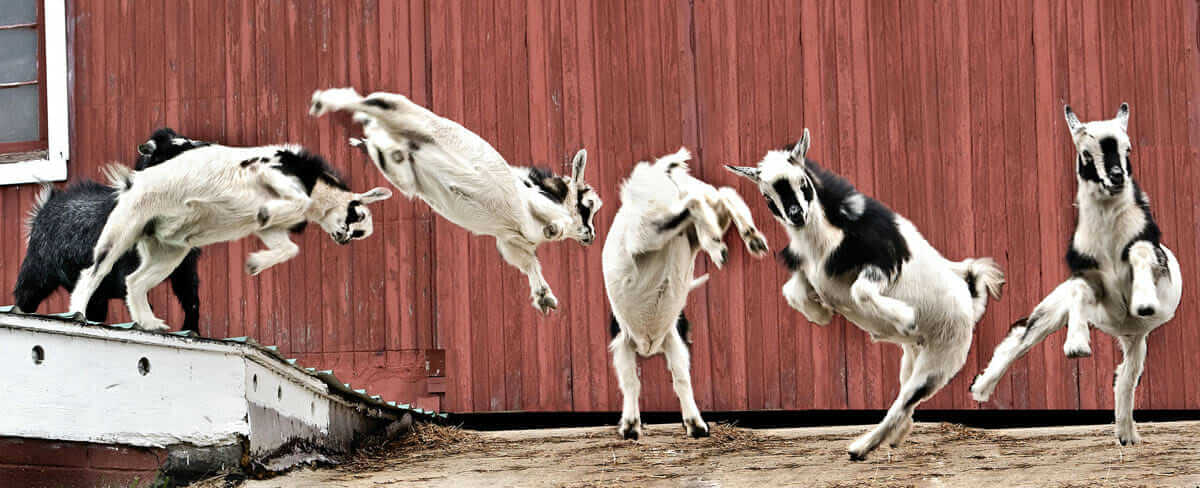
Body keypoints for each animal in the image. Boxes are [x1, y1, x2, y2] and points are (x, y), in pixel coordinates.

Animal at [68, 142, 393, 333]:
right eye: (357, 217)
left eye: (360, 233)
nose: (345, 239)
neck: (313, 182)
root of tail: (133, 182)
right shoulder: (267, 169)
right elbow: (295, 201)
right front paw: (266, 213)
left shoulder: (272, 231)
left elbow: (288, 248)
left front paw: (255, 263)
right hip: (126, 225)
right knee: (95, 271)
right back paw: (78, 312)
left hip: (169, 251)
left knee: (135, 281)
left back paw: (148, 321)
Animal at [309, 88, 600, 314]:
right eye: (588, 205)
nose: (591, 236)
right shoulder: (531, 202)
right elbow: (555, 221)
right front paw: (554, 230)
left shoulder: (510, 241)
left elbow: (527, 262)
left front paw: (544, 297)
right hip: (402, 112)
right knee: (374, 102)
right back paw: (326, 101)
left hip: (402, 172)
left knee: (383, 147)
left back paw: (362, 138)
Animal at [600, 148, 768, 438]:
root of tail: (661, 170)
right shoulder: (667, 339)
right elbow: (677, 378)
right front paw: (695, 425)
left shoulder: (628, 340)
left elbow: (636, 380)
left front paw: (631, 427)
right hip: (685, 223)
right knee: (722, 195)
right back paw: (746, 239)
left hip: (647, 230)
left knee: (693, 202)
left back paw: (717, 244)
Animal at [724, 128, 1008, 458]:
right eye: (767, 196)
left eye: (802, 182)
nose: (796, 215)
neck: (828, 237)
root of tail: (968, 297)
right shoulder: (809, 271)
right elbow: (792, 292)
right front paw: (821, 313)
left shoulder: (883, 262)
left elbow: (860, 292)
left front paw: (906, 318)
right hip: (913, 357)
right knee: (904, 399)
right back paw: (894, 437)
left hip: (942, 358)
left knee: (904, 401)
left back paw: (862, 447)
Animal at [964, 103, 1180, 446]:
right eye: (1086, 153)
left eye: (1127, 148)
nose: (1116, 178)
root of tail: (1124, 331)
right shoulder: (1085, 277)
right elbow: (1081, 292)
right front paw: (1077, 345)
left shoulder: (1154, 259)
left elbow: (1140, 254)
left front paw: (1144, 302)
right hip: (1056, 308)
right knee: (1023, 335)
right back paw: (982, 387)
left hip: (1137, 337)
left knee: (1126, 376)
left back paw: (1127, 434)